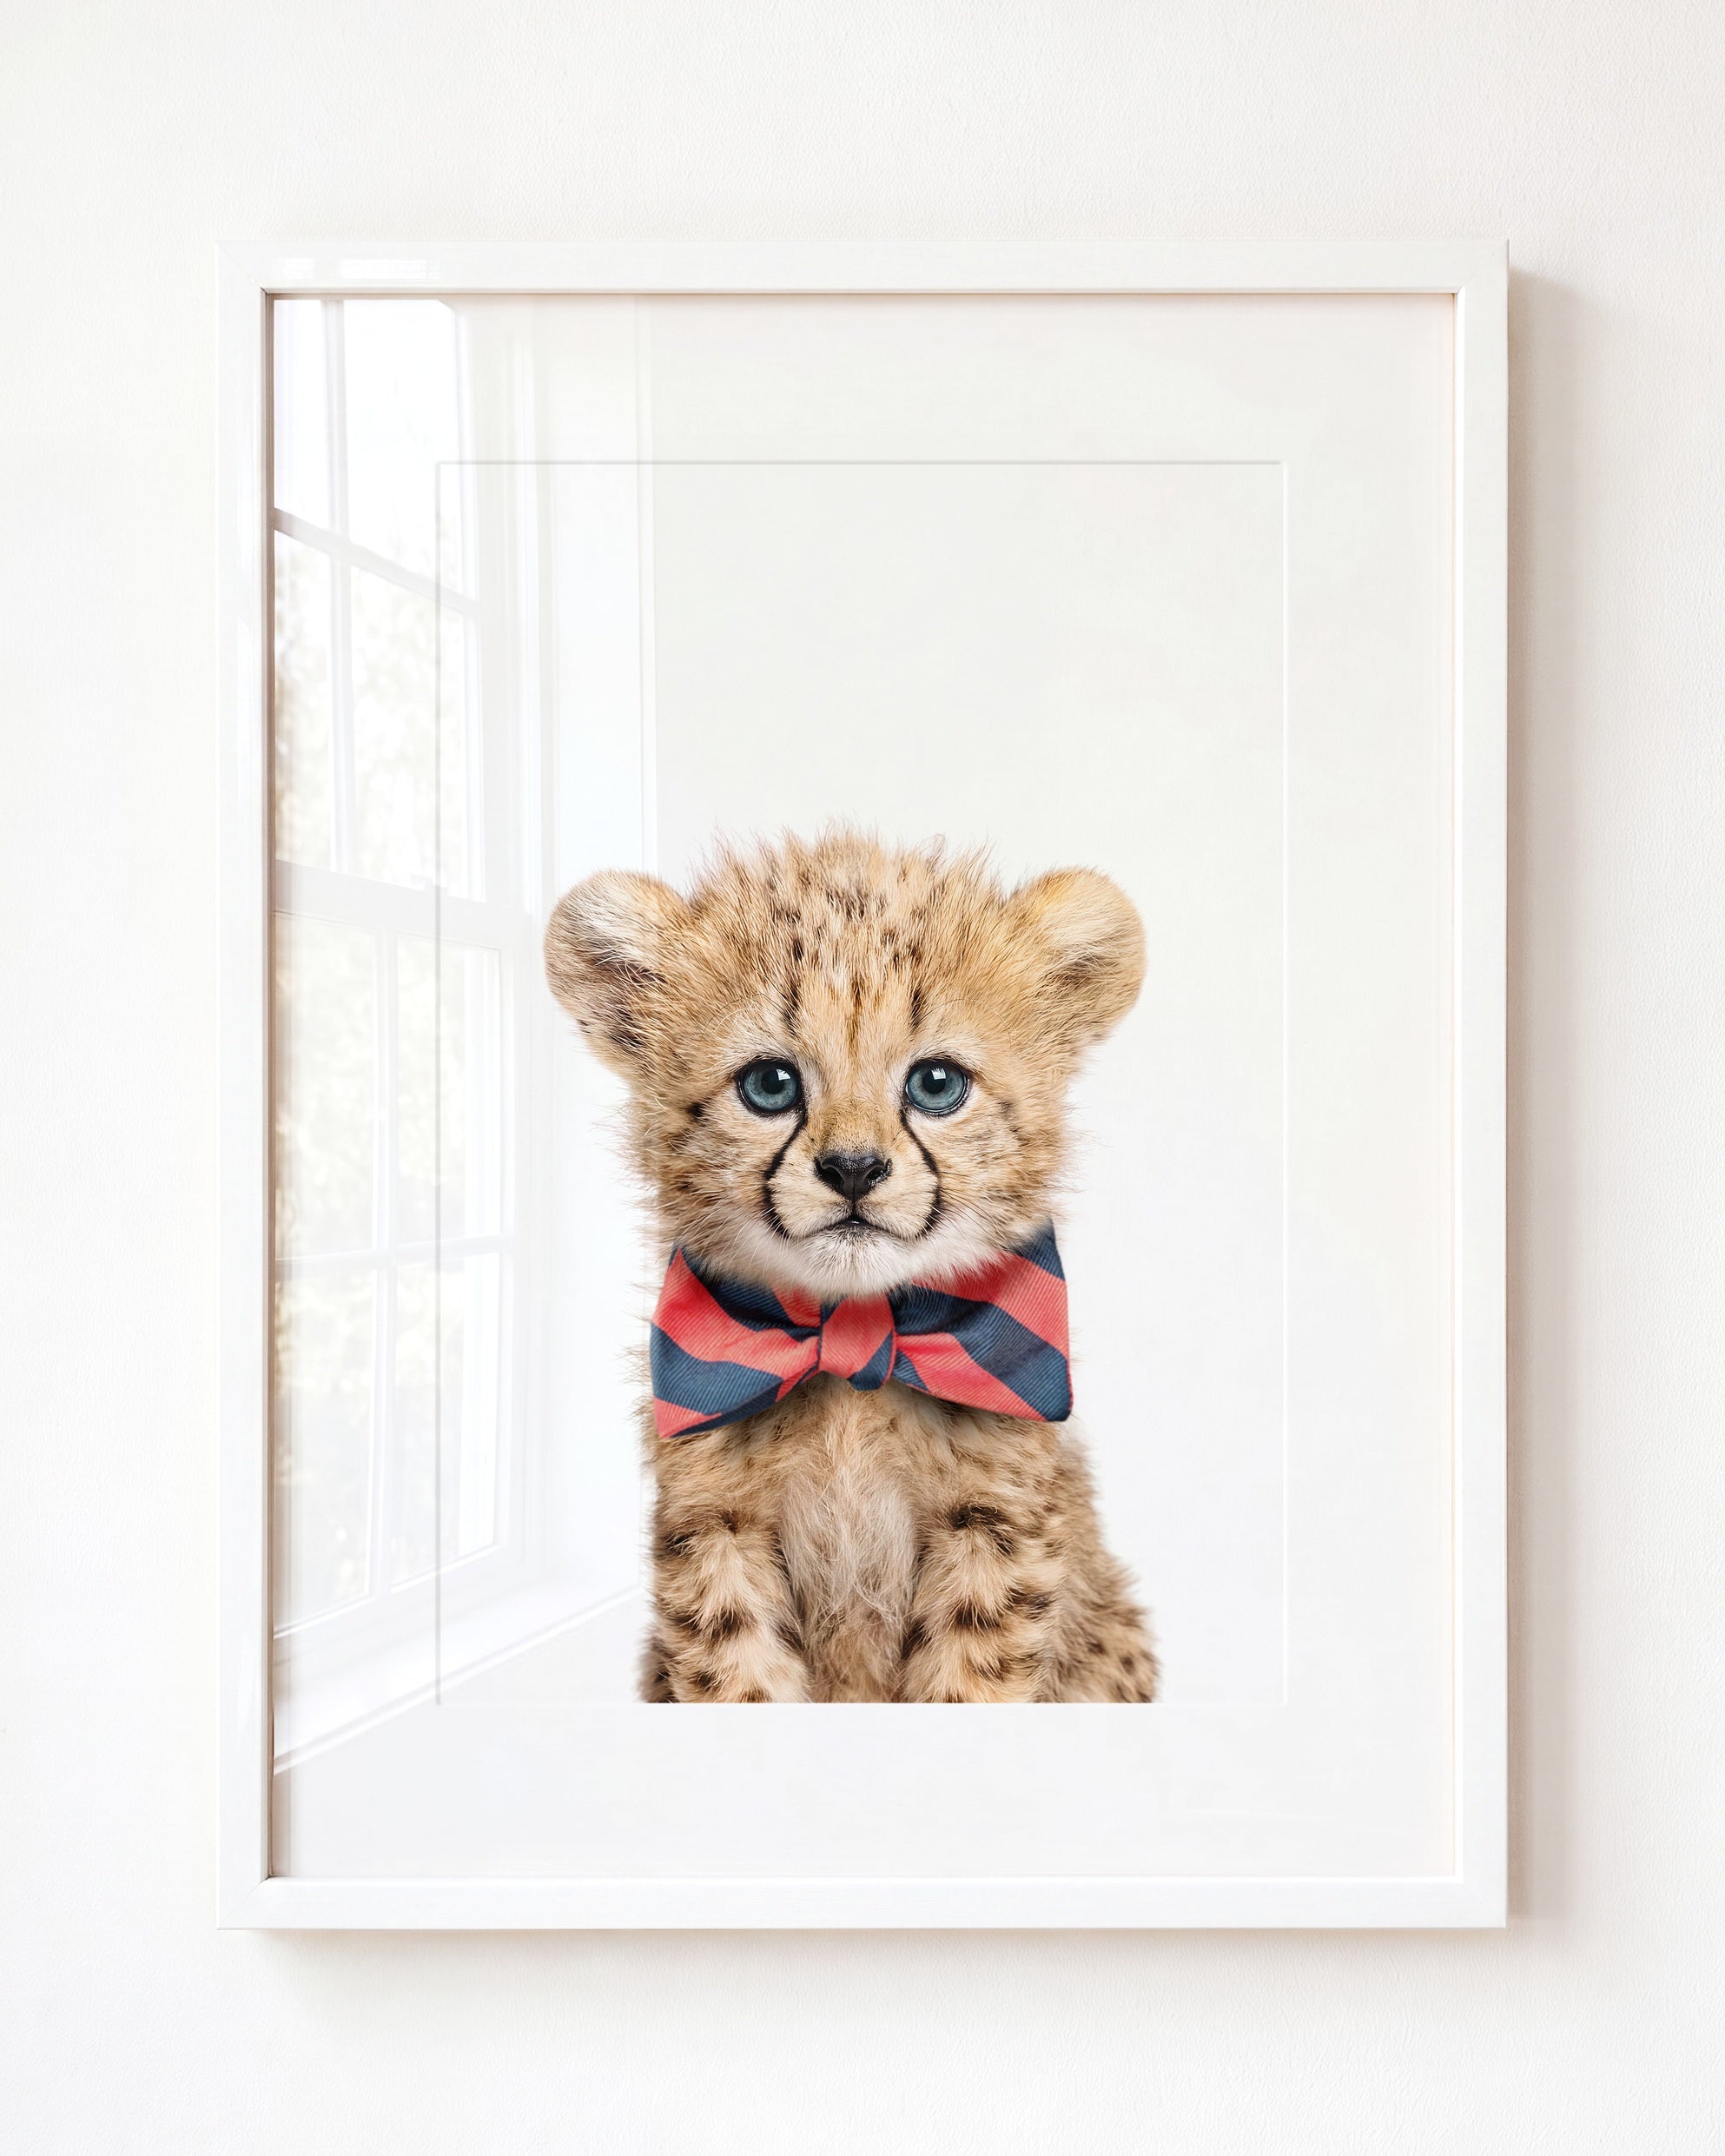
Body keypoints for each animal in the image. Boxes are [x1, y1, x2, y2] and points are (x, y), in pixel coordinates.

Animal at [544, 828, 1159, 1703]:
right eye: (770, 1084)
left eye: (936, 1084)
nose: (855, 1169)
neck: (853, 1344)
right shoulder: (715, 1527)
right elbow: (739, 1677)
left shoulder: (995, 1528)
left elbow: (969, 1681)